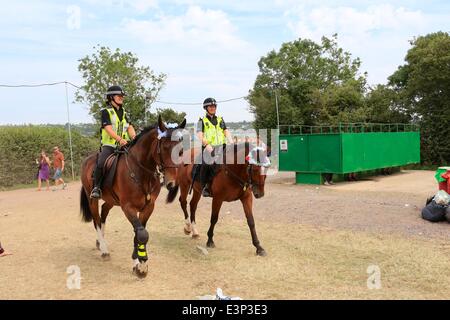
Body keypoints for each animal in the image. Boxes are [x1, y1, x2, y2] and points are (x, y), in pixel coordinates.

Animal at [80, 115, 185, 278]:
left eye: (180, 150)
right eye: (165, 148)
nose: (172, 183)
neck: (142, 172)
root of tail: (88, 159)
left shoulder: (148, 207)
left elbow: (138, 233)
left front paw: (137, 262)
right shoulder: (128, 207)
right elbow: (142, 234)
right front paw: (142, 265)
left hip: (111, 200)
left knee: (104, 214)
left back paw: (100, 242)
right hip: (92, 199)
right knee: (96, 220)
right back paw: (104, 249)